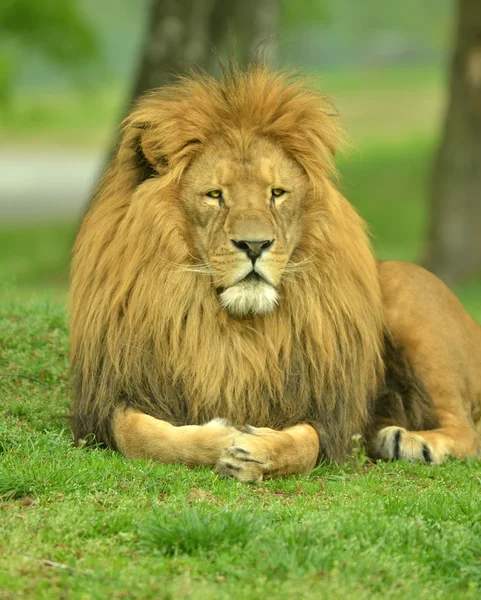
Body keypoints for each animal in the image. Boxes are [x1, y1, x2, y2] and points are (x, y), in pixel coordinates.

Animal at [70, 65, 480, 482]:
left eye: (277, 193)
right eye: (215, 195)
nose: (254, 245)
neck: (234, 327)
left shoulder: (329, 414)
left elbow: (306, 445)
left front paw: (257, 450)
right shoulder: (109, 401)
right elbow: (139, 435)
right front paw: (221, 437)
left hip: (408, 293)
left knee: (466, 428)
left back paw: (410, 442)